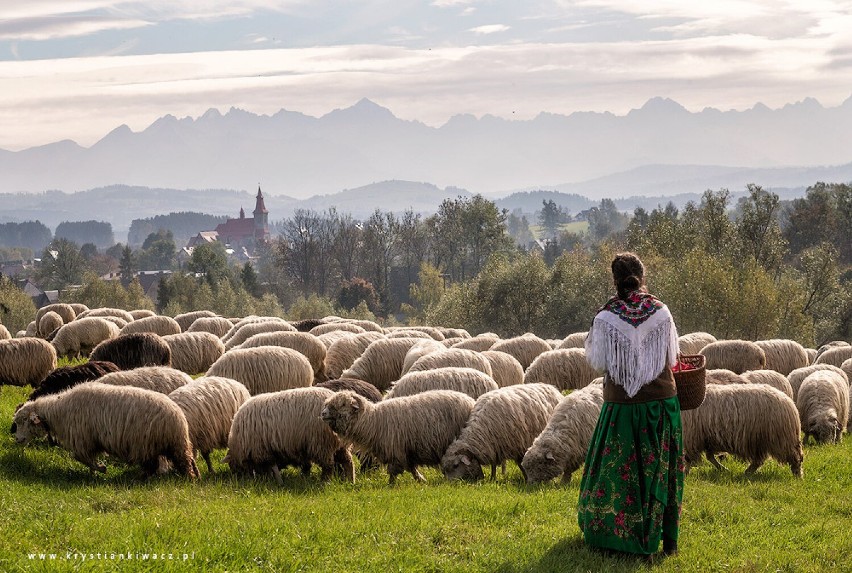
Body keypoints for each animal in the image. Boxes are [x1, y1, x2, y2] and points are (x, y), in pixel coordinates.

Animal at [13, 380, 198, 478]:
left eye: (25, 421)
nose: (18, 439)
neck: (59, 410)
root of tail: (178, 415)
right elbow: (87, 459)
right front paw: (94, 472)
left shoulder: (83, 440)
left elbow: (81, 458)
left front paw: (101, 468)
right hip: (164, 445)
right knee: (177, 461)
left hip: (151, 444)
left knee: (177, 463)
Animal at [322, 388, 476, 482]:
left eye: (342, 404)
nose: (323, 413)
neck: (373, 421)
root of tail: (470, 401)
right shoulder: (406, 451)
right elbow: (411, 467)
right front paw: (421, 480)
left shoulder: (396, 451)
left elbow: (394, 471)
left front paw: (391, 485)